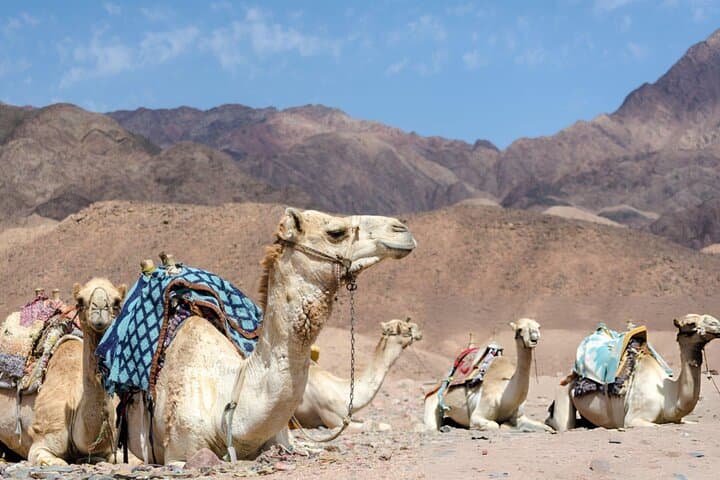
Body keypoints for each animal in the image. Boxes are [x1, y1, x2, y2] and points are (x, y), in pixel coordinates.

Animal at [546, 314, 720, 431]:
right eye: (690, 323)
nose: (716, 324)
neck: (667, 395)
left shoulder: (680, 419)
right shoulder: (634, 419)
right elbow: (652, 425)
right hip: (563, 394)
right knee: (560, 424)